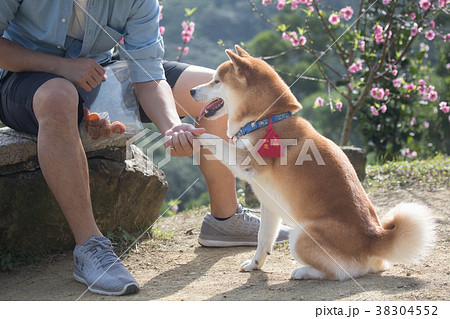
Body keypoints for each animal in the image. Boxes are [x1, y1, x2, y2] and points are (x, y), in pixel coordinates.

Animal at [191, 46, 436, 282]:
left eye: (216, 81)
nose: (192, 91)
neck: (267, 119)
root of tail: (374, 238)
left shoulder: (246, 161)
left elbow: (217, 141)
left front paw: (195, 135)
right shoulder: (270, 206)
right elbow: (263, 240)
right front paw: (254, 264)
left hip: (300, 235)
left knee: (342, 272)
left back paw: (303, 272)